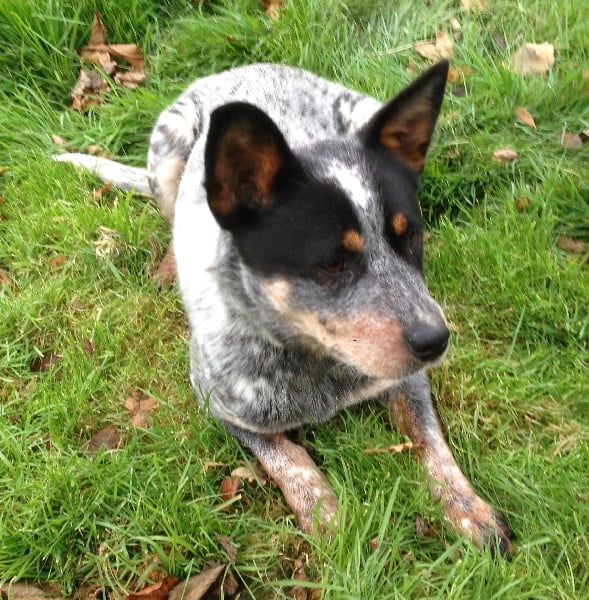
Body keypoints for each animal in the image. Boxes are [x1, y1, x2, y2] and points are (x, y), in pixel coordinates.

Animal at [56, 60, 514, 556]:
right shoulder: (220, 406)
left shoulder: (408, 379)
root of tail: (244, 67)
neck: (317, 364)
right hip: (168, 151)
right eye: (333, 262)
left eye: (410, 236)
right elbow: (288, 459)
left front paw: (468, 509)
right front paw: (328, 518)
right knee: (170, 209)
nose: (437, 340)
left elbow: (431, 442)